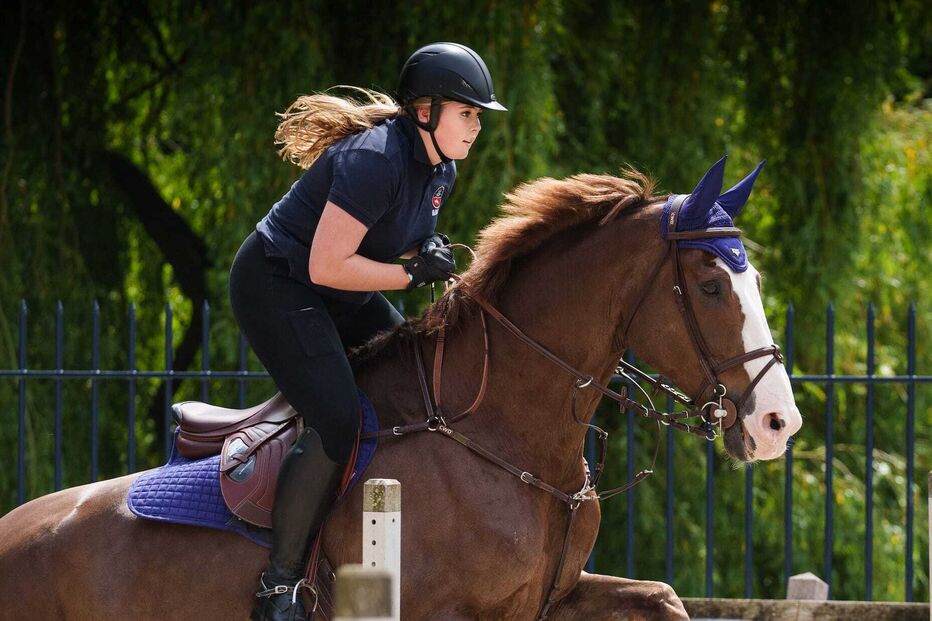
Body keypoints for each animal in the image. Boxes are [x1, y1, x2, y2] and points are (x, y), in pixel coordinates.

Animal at [0, 157, 801, 620]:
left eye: (755, 279)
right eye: (708, 285)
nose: (778, 424)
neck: (506, 435)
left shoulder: (553, 597)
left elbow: (665, 599)